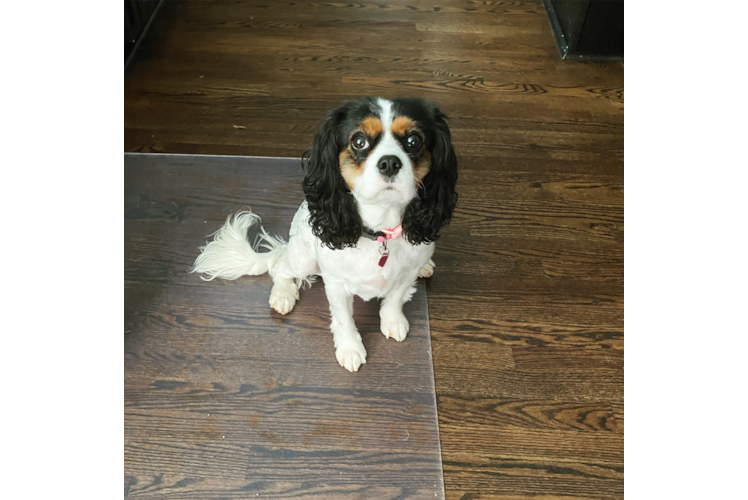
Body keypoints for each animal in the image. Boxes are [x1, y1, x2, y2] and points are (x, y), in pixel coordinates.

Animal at [191, 96, 456, 372]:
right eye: (358, 141)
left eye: (414, 140)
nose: (390, 163)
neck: (380, 231)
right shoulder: (337, 283)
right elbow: (343, 319)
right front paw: (350, 349)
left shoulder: (407, 271)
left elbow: (395, 298)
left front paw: (392, 320)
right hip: (303, 257)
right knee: (280, 267)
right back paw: (283, 294)